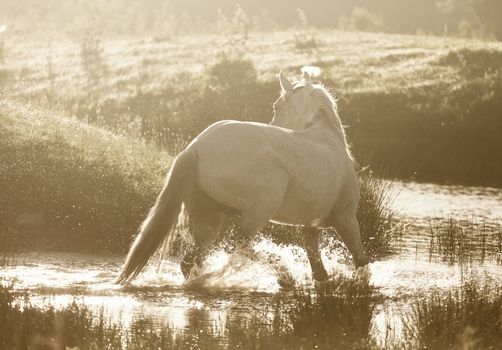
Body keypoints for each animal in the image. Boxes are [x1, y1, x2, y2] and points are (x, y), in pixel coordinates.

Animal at [117, 69, 368, 284]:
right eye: (276, 106)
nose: (274, 123)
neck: (327, 139)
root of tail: (196, 147)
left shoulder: (311, 229)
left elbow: (320, 271)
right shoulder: (346, 220)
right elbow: (361, 260)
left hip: (209, 219)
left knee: (192, 262)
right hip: (257, 212)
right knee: (240, 248)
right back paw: (284, 276)